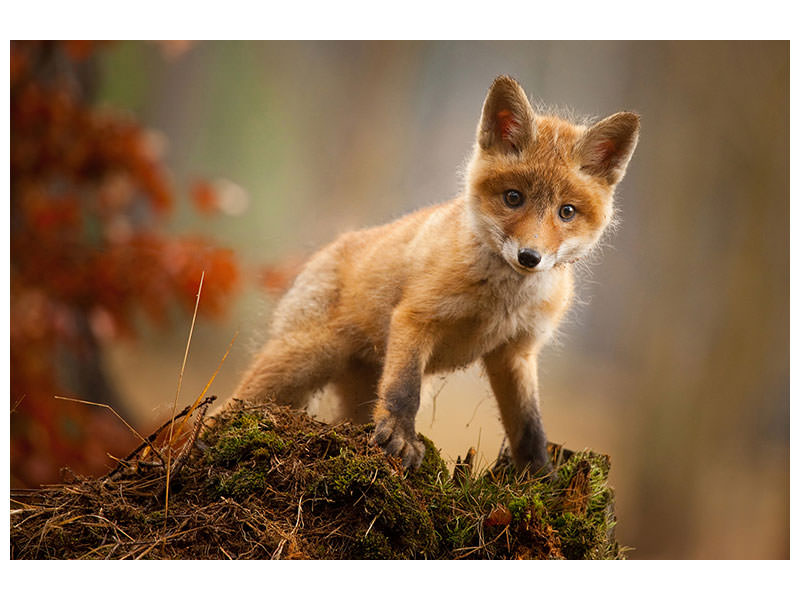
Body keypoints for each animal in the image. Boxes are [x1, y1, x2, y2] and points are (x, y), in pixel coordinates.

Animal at [227, 75, 639, 474]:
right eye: (513, 198)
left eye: (566, 211)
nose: (529, 256)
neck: (501, 301)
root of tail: (329, 248)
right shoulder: (416, 318)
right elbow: (404, 391)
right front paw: (400, 438)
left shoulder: (515, 352)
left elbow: (529, 426)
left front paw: (540, 478)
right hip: (299, 362)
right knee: (230, 405)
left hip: (355, 389)